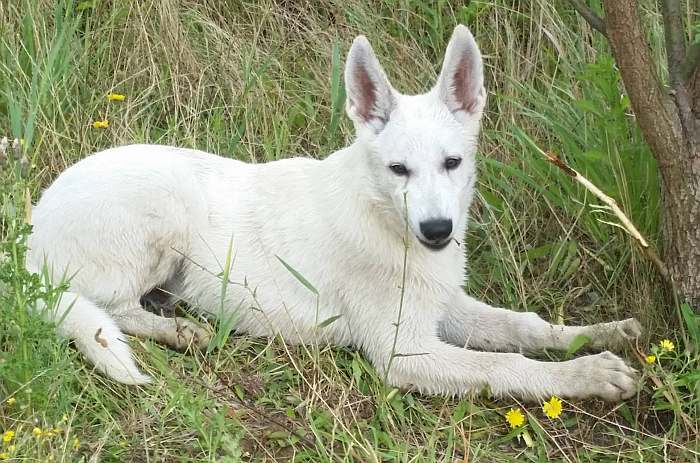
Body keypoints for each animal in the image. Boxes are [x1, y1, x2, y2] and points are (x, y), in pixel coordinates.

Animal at [27, 26, 640, 402]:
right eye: (398, 170)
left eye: (453, 162)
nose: (437, 231)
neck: (384, 219)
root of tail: (29, 241)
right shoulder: (403, 351)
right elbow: (505, 366)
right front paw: (587, 374)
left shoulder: (446, 307)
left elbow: (524, 326)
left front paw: (601, 334)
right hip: (160, 221)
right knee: (108, 309)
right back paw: (177, 330)